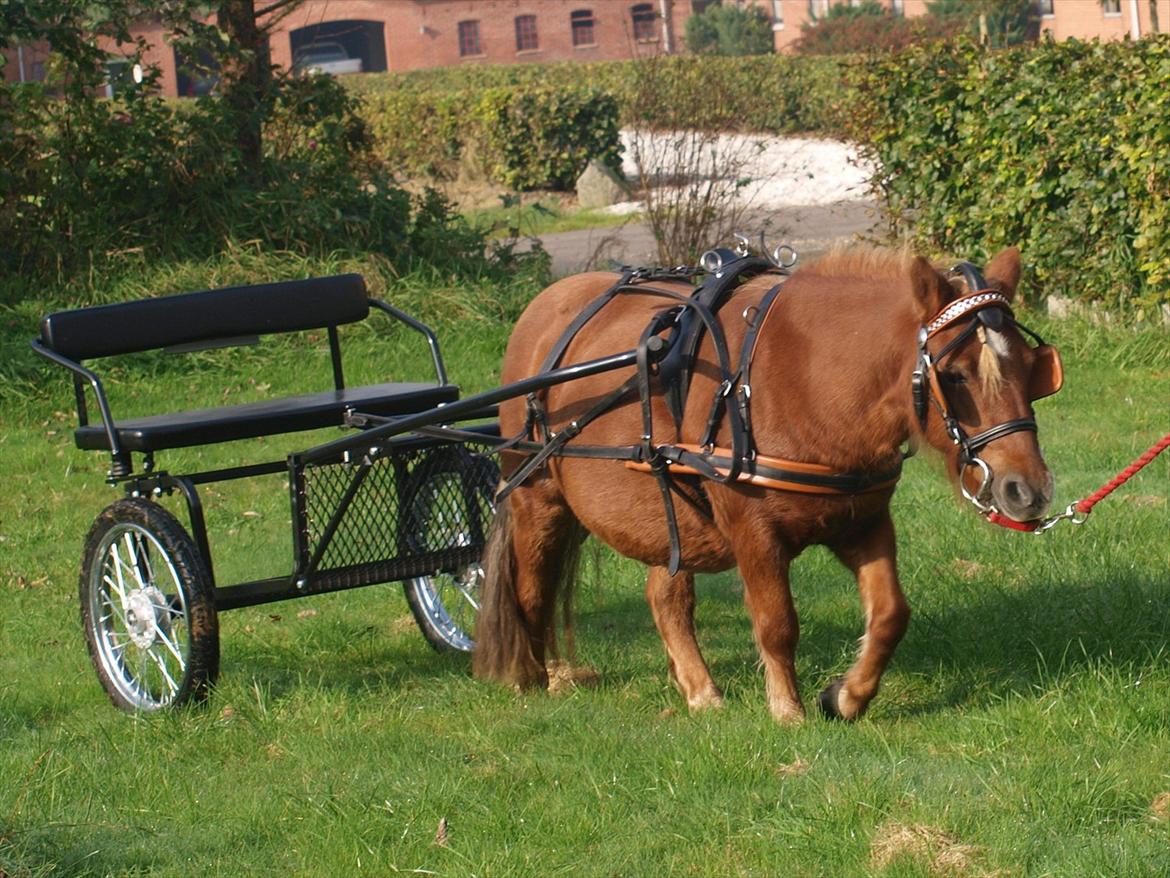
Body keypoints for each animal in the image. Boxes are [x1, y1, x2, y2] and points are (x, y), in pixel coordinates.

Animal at [470, 245, 1057, 721]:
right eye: (954, 375)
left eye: (1035, 369)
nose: (1027, 490)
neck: (804, 378)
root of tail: (547, 304)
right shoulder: (753, 530)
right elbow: (777, 622)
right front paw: (787, 710)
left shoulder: (863, 521)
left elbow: (891, 613)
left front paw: (846, 696)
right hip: (538, 498)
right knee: (532, 588)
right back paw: (535, 678)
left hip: (666, 508)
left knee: (665, 596)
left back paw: (699, 689)